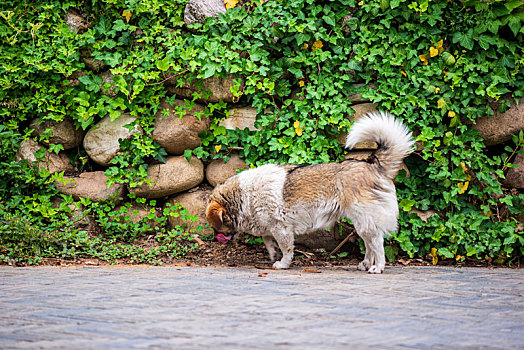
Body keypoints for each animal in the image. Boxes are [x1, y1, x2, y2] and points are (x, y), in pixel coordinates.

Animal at [205, 112, 414, 274]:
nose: (215, 238)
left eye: (216, 227)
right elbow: (268, 242)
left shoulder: (282, 229)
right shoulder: (270, 228)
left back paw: (377, 267)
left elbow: (287, 249)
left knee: (377, 243)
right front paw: (273, 254)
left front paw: (283, 263)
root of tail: (372, 164)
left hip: (365, 219)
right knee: (370, 244)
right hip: (362, 222)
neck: (245, 196)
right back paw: (365, 264)